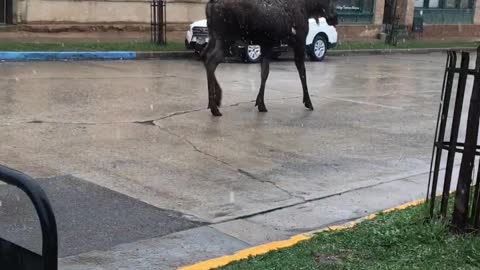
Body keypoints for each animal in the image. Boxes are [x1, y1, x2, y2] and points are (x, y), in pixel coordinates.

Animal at [201, 0, 340, 116]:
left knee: (204, 56)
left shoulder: (266, 45)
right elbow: (302, 72)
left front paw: (260, 103)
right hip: (226, 39)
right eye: (330, 0)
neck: (308, 8)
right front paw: (308, 102)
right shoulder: (299, 42)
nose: (335, 18)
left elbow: (264, 73)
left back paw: (215, 99)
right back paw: (214, 107)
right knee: (211, 62)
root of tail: (210, 5)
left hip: (213, 37)